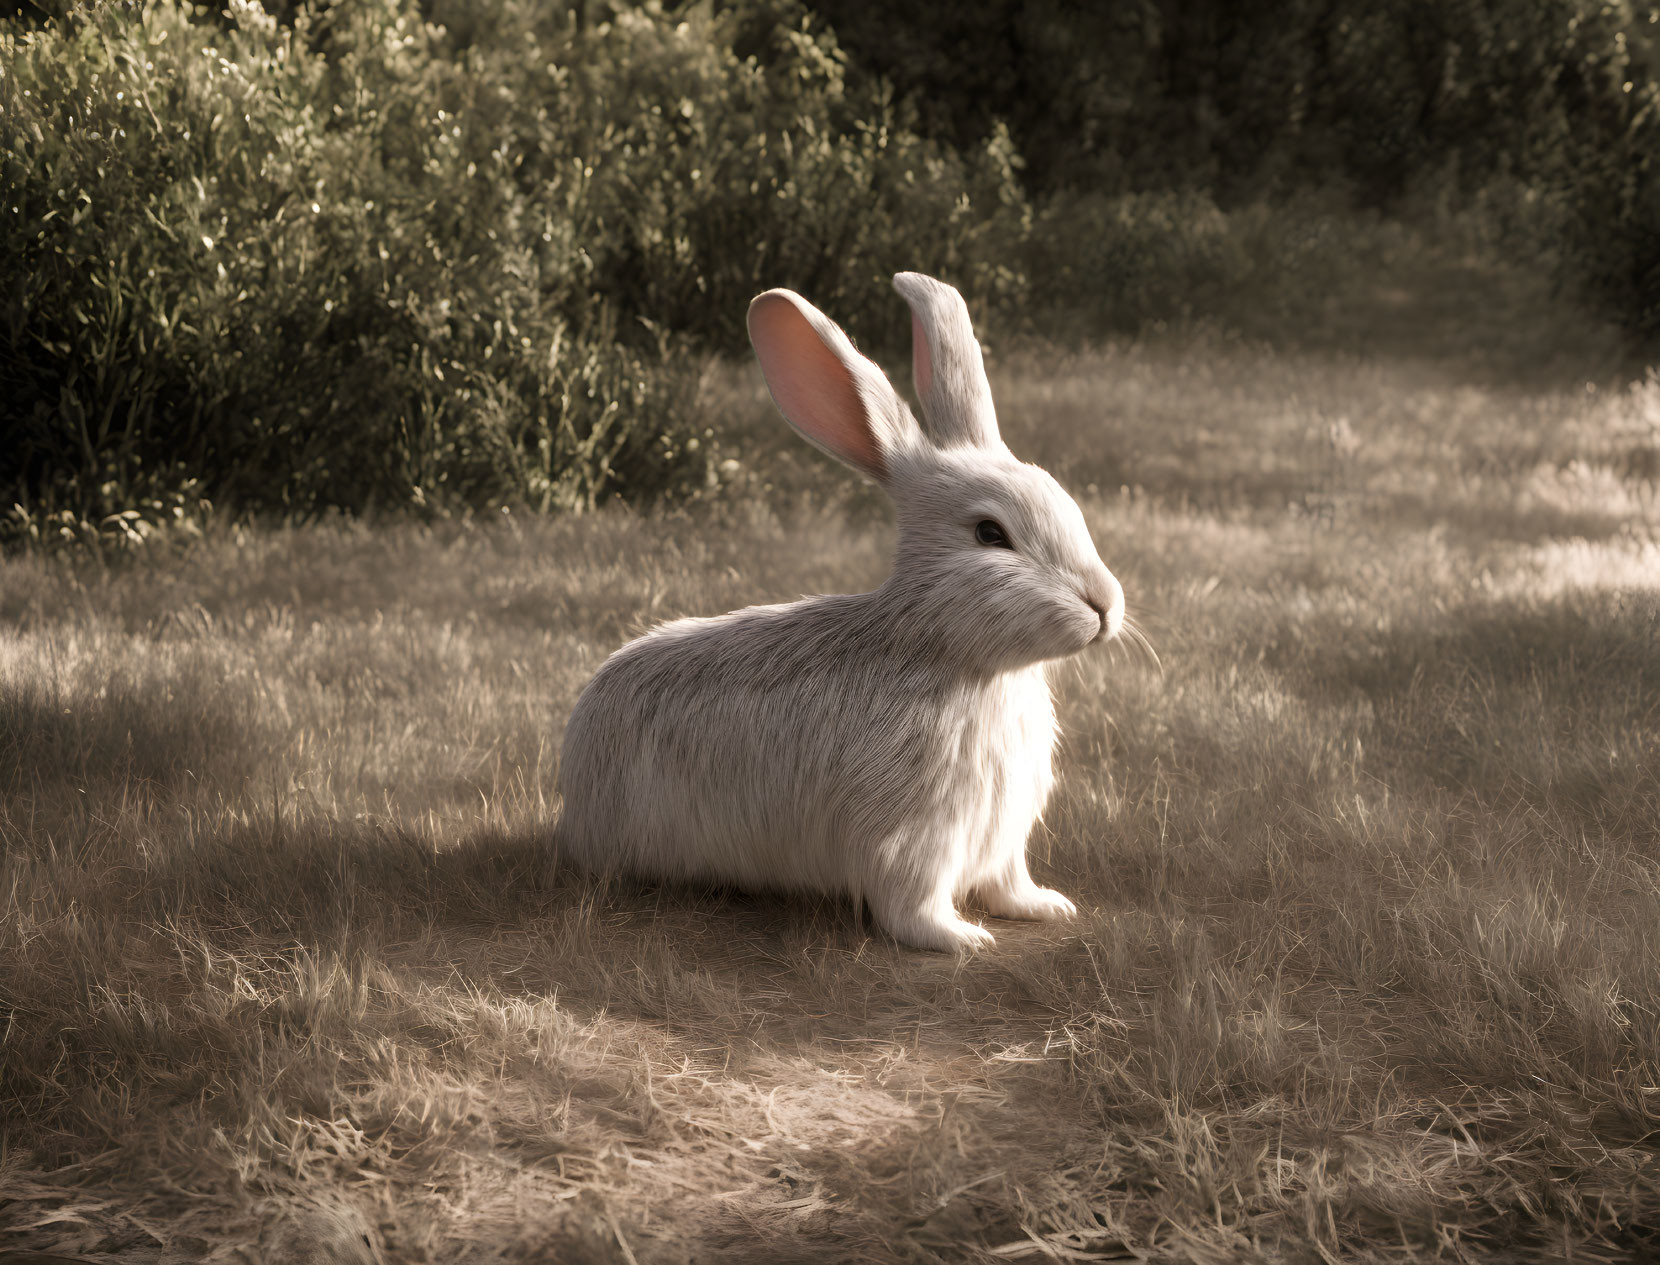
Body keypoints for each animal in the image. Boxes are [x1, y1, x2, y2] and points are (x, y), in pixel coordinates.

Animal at [551, 273, 1122, 942]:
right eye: (990, 534)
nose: (1105, 606)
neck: (954, 657)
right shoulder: (913, 840)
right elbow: (913, 908)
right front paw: (963, 940)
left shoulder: (1003, 840)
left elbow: (1010, 884)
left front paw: (1047, 906)